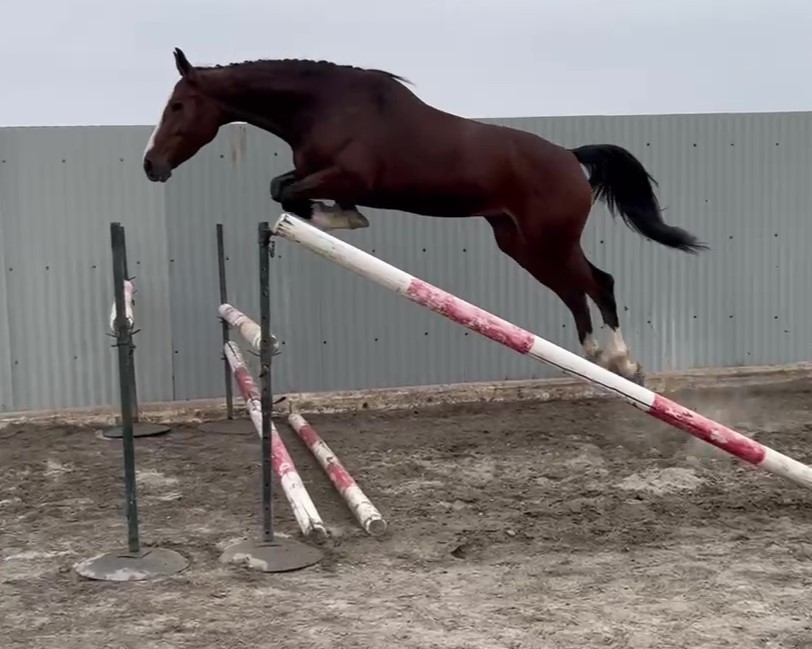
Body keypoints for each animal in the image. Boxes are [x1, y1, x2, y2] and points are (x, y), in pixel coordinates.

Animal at [142, 48, 708, 386]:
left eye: (178, 106)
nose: (151, 166)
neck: (324, 104)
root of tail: (570, 157)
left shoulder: (346, 176)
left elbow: (286, 192)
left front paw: (333, 222)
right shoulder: (323, 175)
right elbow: (285, 189)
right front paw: (332, 220)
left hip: (551, 240)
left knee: (599, 283)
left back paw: (623, 362)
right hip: (522, 245)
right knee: (575, 290)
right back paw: (597, 358)